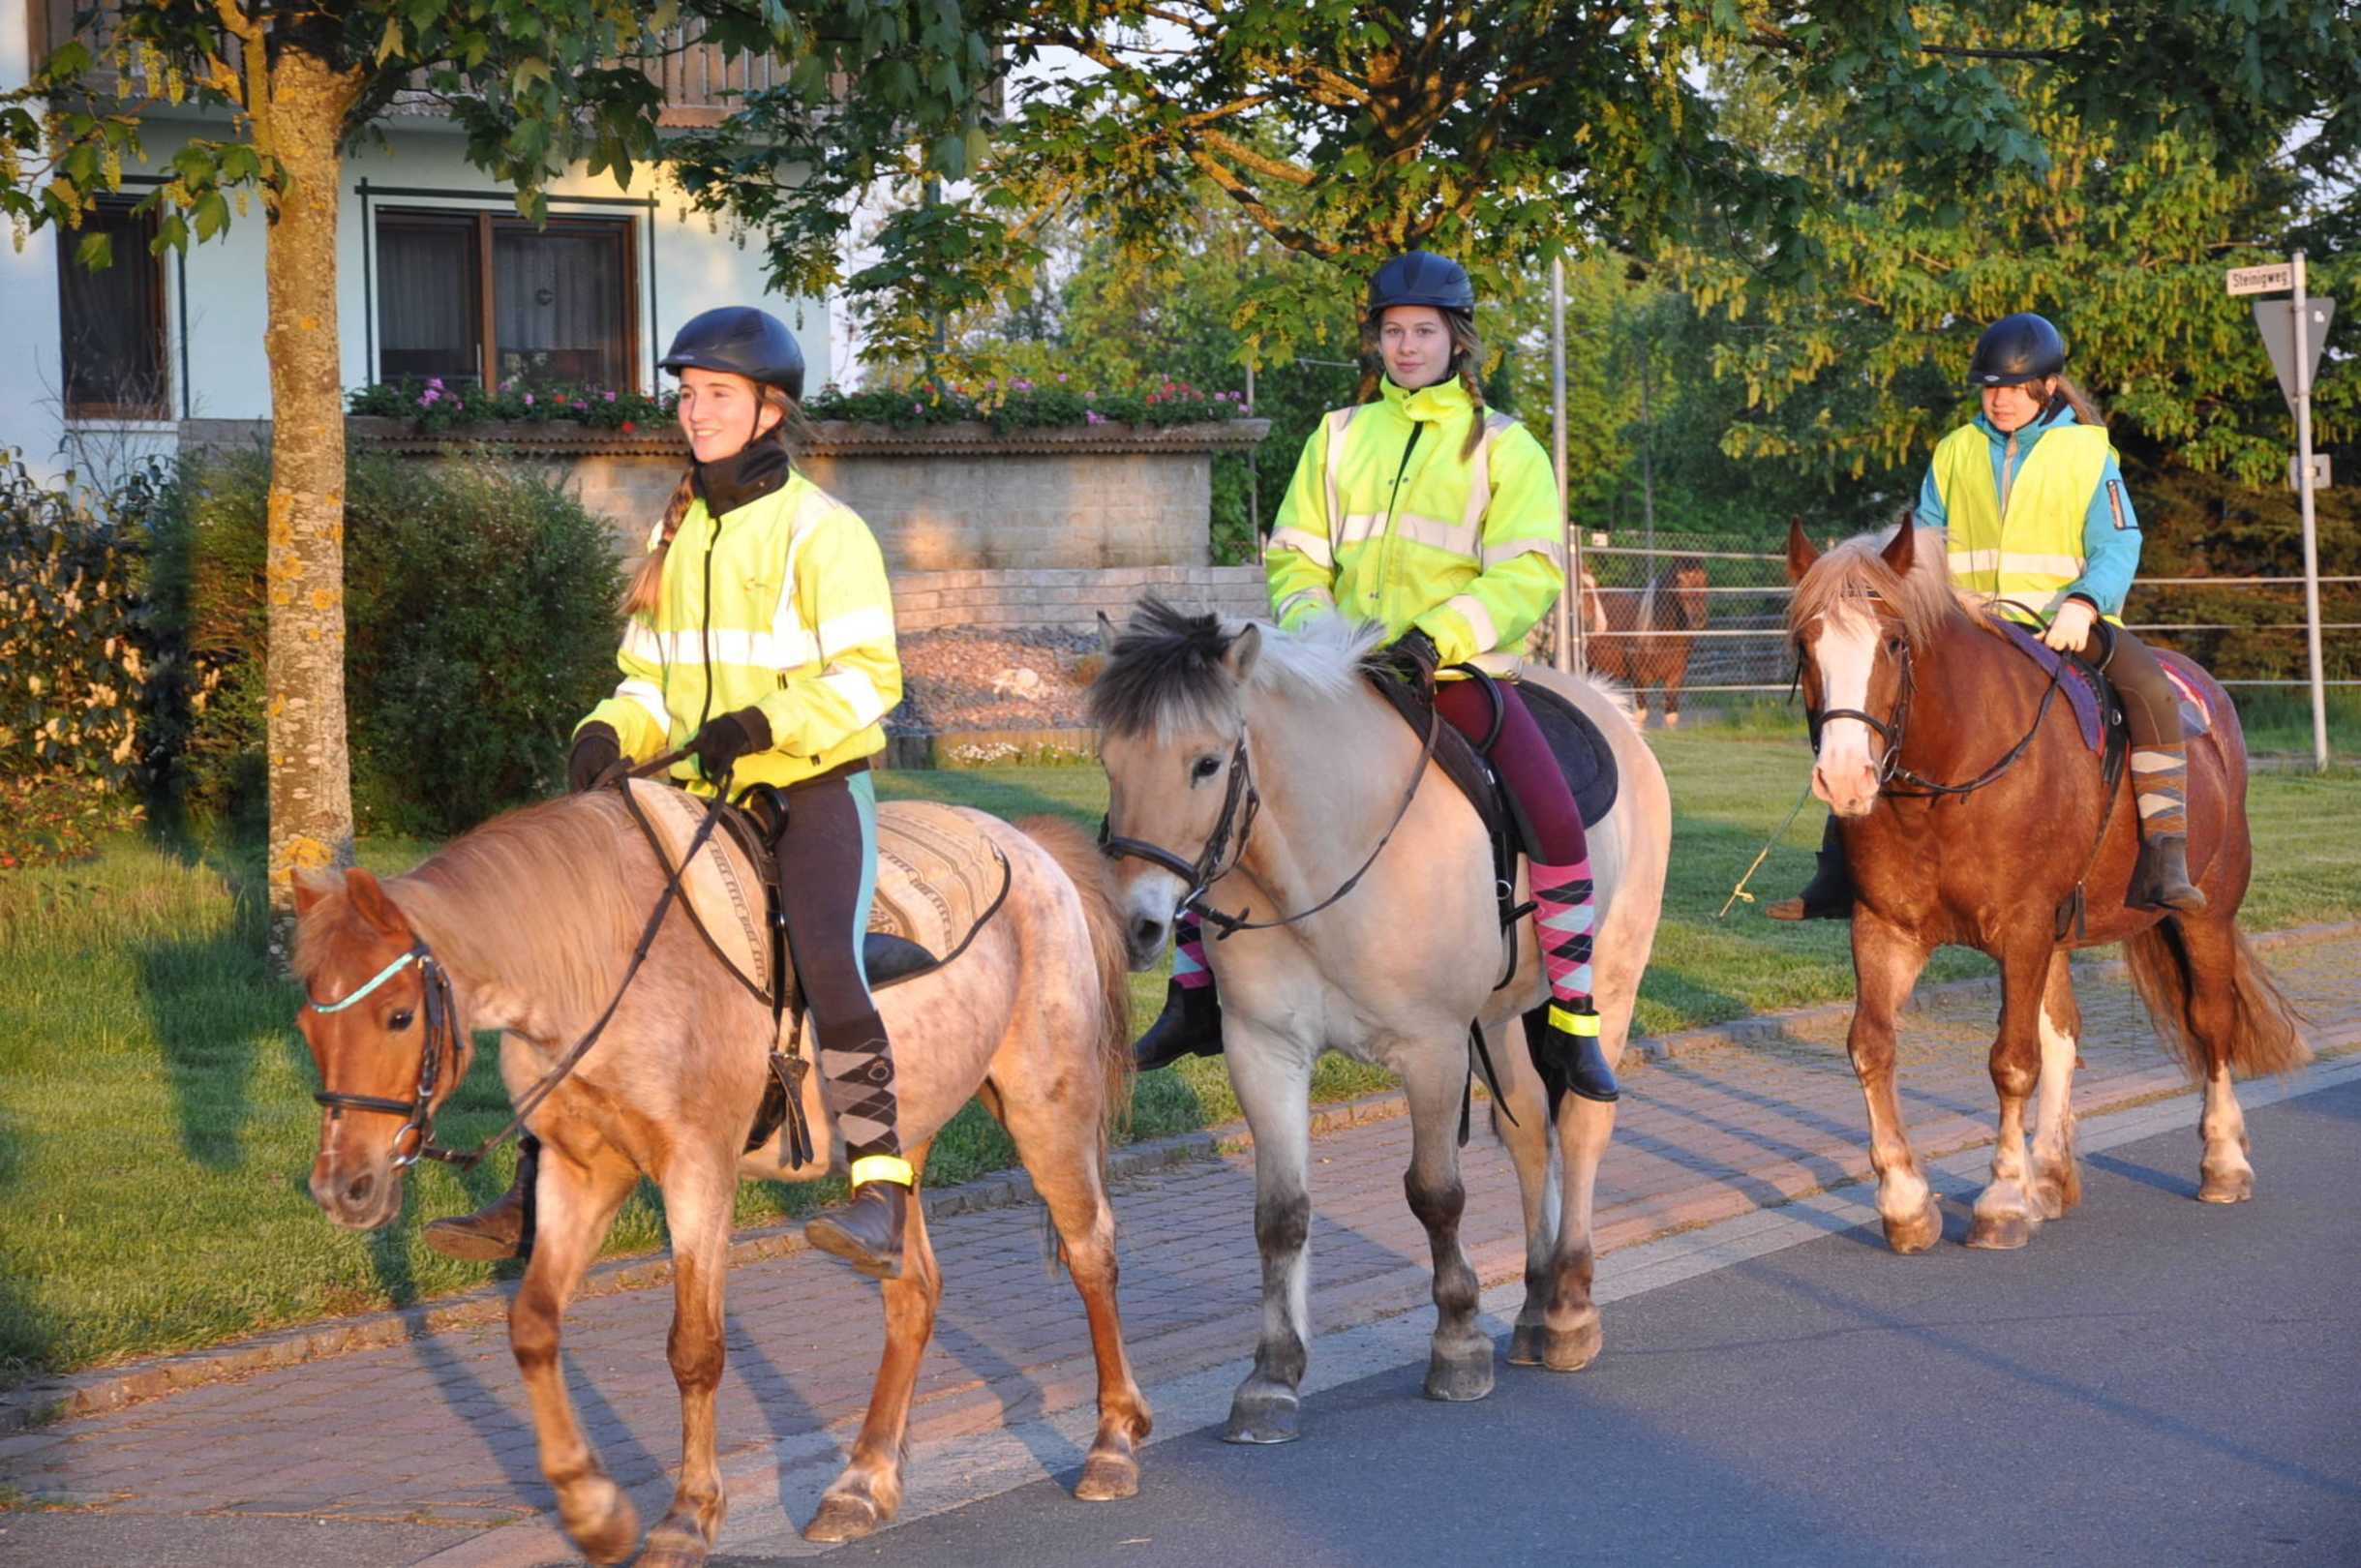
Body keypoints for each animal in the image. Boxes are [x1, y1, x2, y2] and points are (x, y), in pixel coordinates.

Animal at [292, 790, 1147, 1566]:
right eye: (307, 1023)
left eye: (399, 1015)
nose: (342, 1187)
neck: (599, 961)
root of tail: (1028, 844)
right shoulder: (582, 1170)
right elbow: (532, 1324)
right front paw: (592, 1510)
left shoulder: (696, 1171)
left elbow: (695, 1347)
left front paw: (686, 1518)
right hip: (912, 1136)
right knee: (912, 1290)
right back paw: (861, 1484)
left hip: (1044, 1103)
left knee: (1089, 1252)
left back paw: (1111, 1443)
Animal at [1090, 600, 1672, 1442]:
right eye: (1107, 761)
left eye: (1205, 763)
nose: (1134, 926)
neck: (1324, 864)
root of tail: (1608, 706)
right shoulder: (1263, 1052)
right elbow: (1280, 1214)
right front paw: (1271, 1376)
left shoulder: (1431, 1051)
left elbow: (1435, 1193)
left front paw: (1457, 1344)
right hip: (1499, 1019)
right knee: (1529, 1129)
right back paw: (1534, 1307)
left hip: (1611, 982)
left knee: (1582, 1124)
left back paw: (1567, 1308)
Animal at [1588, 555, 1709, 726]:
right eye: (1679, 579)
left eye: (1704, 577)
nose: (1698, 618)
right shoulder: (1640, 679)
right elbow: (1640, 716)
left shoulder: (1675, 678)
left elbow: (1671, 717)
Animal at [1786, 521, 2311, 1254]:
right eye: (1805, 646)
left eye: (1893, 642)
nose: (1842, 779)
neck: (1949, 783)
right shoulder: (1887, 929)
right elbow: (1871, 1047)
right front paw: (1906, 1203)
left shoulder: (2022, 927)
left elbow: (2011, 1061)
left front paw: (2002, 1200)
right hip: (2059, 936)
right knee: (2063, 1036)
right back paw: (2052, 1176)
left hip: (2204, 913)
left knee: (2210, 1022)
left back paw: (2223, 1162)